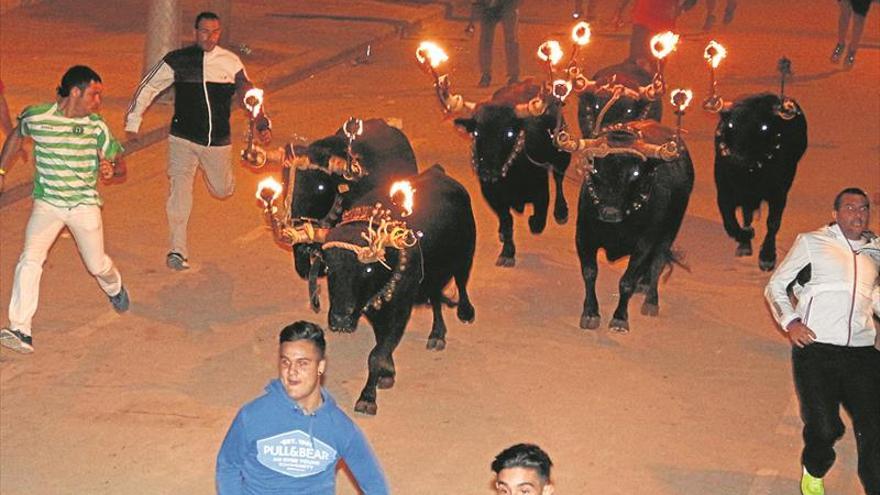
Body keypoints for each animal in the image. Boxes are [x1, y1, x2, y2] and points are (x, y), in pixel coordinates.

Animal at [322, 167, 474, 414]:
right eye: (328, 268)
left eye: (368, 268)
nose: (340, 320)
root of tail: (438, 171)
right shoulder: (377, 308)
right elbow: (381, 343)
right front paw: (387, 374)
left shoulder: (400, 309)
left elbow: (376, 354)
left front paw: (367, 397)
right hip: (432, 276)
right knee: (435, 299)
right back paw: (437, 334)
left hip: (465, 257)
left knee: (461, 283)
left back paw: (466, 312)